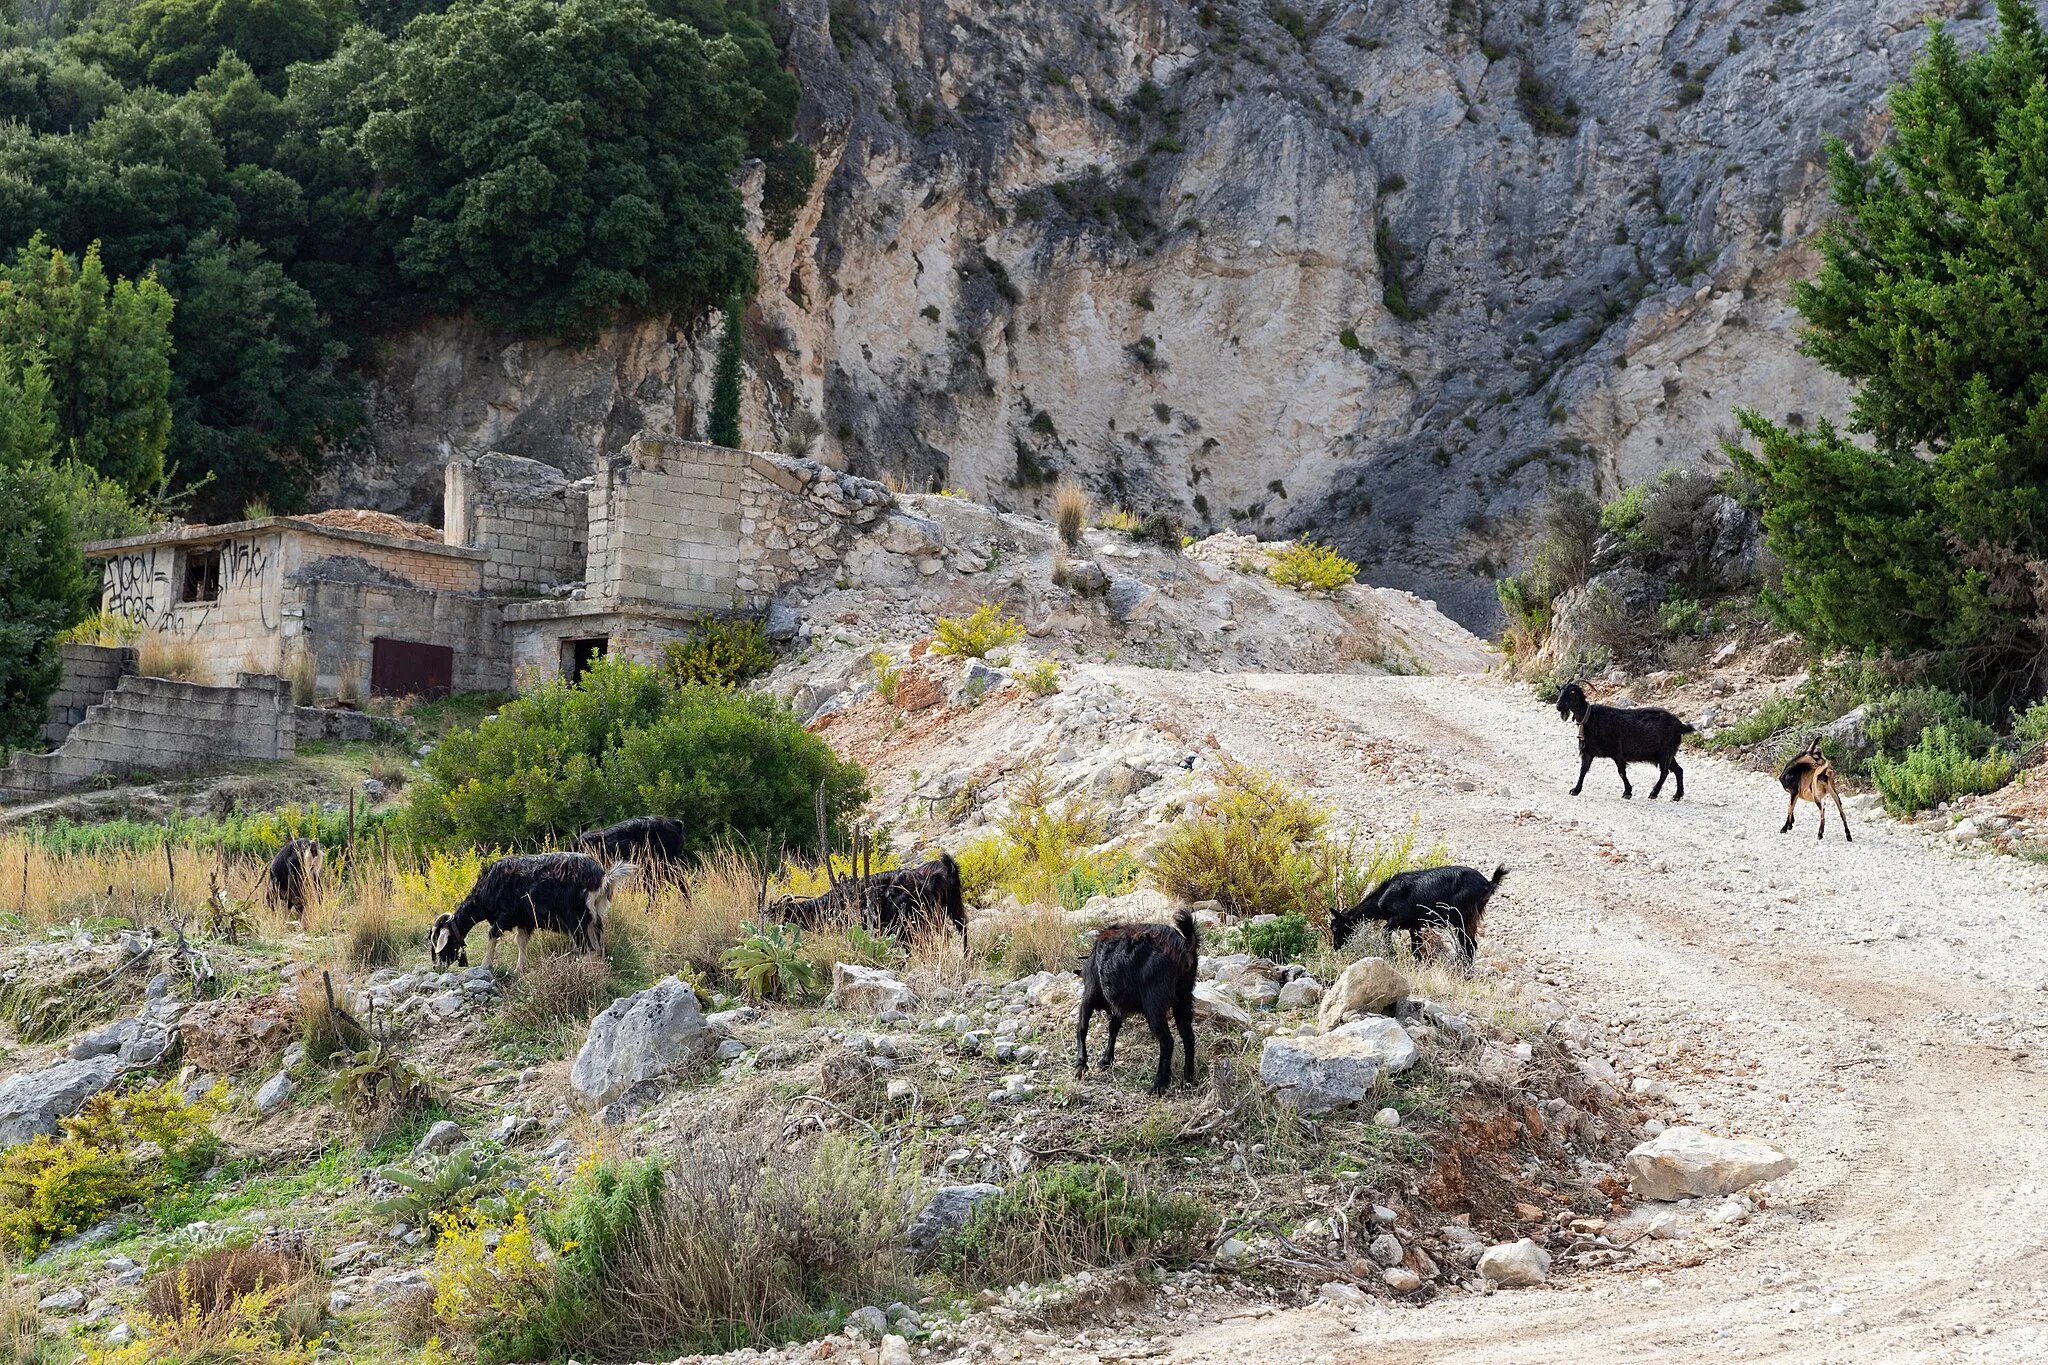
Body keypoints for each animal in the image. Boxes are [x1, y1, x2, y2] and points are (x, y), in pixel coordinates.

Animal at [425, 855, 630, 970]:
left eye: (440, 942)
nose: (437, 968)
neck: (488, 887)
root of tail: (602, 878)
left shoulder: (506, 916)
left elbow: (492, 935)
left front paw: (485, 965)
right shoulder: (524, 921)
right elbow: (521, 941)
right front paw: (519, 968)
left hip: (576, 921)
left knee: (588, 949)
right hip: (593, 919)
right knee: (598, 947)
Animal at [1073, 908, 1196, 1096]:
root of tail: (1184, 945)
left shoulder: (1090, 993)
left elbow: (1082, 1027)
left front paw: (1080, 1065)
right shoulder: (1118, 1005)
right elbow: (1113, 1028)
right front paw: (1106, 1060)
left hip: (1154, 1005)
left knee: (1167, 1041)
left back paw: (1158, 1085)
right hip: (1183, 1000)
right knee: (1188, 1038)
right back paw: (1187, 1080)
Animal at [1335, 859, 1515, 965]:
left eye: (1335, 927)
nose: (1335, 947)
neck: (1384, 896)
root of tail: (1488, 883)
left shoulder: (1398, 917)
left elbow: (1385, 932)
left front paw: (1392, 955)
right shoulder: (1414, 926)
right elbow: (1415, 948)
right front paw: (1420, 965)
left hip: (1462, 916)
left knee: (1469, 945)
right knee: (1469, 945)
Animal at [1556, 683, 1687, 802]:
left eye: (1572, 692)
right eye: (1561, 689)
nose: (1558, 705)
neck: (1590, 718)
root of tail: (1680, 725)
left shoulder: (1617, 752)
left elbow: (1621, 772)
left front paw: (1627, 792)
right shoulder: (1588, 752)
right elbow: (1583, 770)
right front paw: (1575, 790)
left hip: (1665, 752)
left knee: (1665, 772)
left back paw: (1654, 793)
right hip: (1668, 753)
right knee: (1678, 770)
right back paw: (1677, 795)